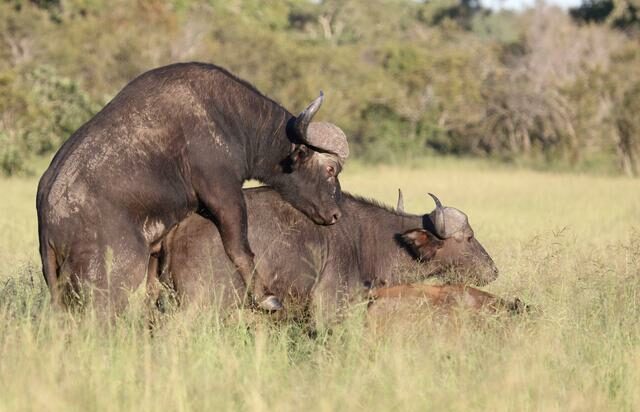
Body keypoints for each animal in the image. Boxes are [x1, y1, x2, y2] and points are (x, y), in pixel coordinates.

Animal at [37, 61, 348, 314]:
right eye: (330, 169)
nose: (335, 214)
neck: (229, 116)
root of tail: (49, 220)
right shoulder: (223, 192)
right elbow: (240, 246)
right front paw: (265, 297)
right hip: (115, 278)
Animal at [158, 187, 498, 322]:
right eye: (468, 237)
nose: (494, 271)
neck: (371, 240)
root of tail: (181, 225)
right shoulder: (330, 306)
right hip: (200, 306)